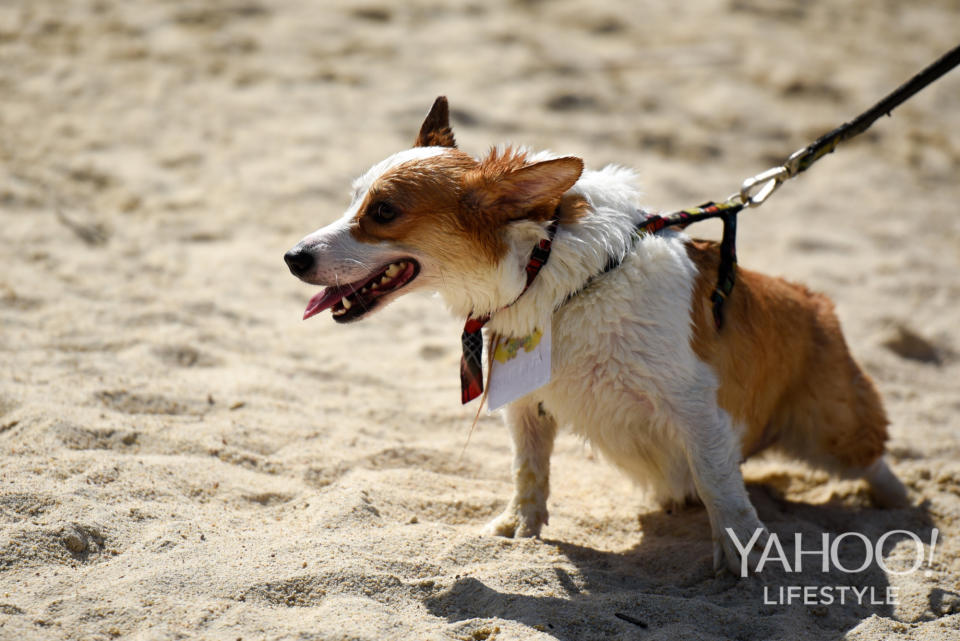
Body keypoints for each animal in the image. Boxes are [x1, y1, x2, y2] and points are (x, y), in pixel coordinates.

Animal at [284, 97, 908, 572]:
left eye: (384, 211)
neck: (550, 272)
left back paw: (897, 506)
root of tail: (818, 302)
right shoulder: (526, 403)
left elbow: (721, 488)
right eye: (354, 199)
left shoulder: (697, 407)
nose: (292, 258)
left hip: (832, 425)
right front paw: (519, 530)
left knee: (872, 457)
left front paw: (741, 560)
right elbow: (529, 470)